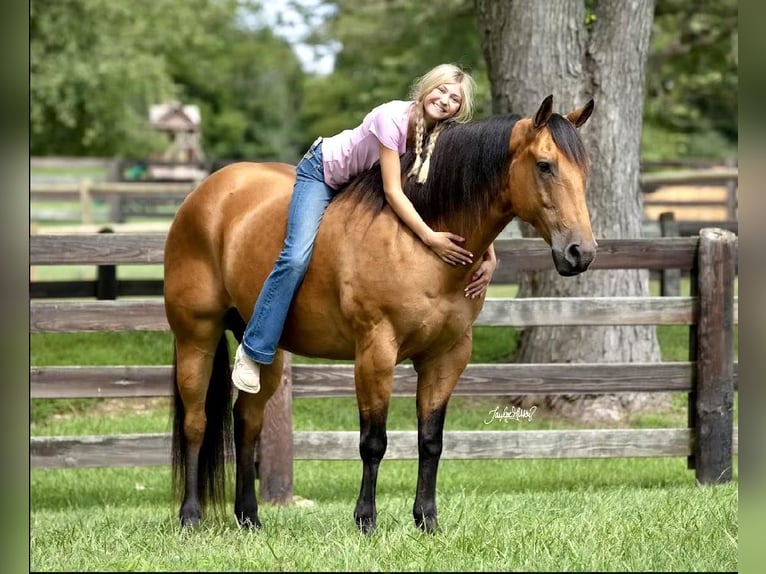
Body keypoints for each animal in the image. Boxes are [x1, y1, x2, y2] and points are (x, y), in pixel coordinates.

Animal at [165, 93, 600, 536]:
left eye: (585, 169)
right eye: (545, 165)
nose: (580, 252)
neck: (418, 240)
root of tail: (206, 195)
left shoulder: (447, 358)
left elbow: (431, 441)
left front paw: (427, 520)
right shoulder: (376, 353)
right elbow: (373, 441)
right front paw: (366, 520)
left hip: (262, 349)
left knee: (246, 421)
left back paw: (249, 517)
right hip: (196, 338)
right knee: (196, 422)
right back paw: (190, 516)